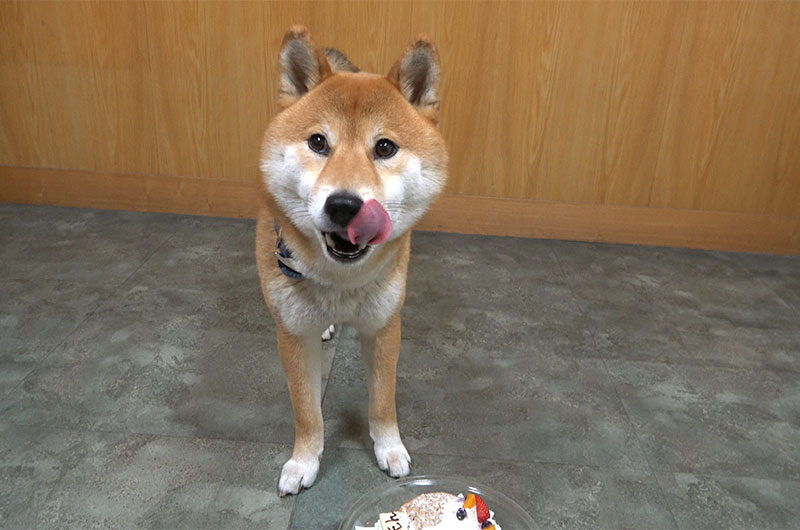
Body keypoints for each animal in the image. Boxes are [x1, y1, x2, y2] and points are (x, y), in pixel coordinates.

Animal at [256, 26, 446, 492]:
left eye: (385, 147)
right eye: (318, 142)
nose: (344, 205)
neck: (341, 281)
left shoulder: (384, 327)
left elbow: (382, 402)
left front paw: (390, 448)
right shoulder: (291, 335)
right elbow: (308, 412)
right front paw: (304, 462)